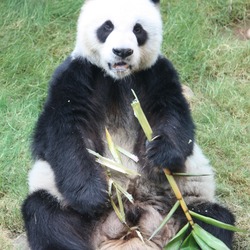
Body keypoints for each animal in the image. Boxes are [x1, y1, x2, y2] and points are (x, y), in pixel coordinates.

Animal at [21, 0, 234, 250]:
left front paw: (160, 155)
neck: (118, 79)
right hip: (63, 204)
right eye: (107, 26)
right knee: (47, 217)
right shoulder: (76, 76)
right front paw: (92, 196)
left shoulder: (156, 74)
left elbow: (174, 117)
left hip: (184, 205)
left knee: (212, 221)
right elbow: (63, 135)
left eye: (138, 29)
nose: (122, 51)